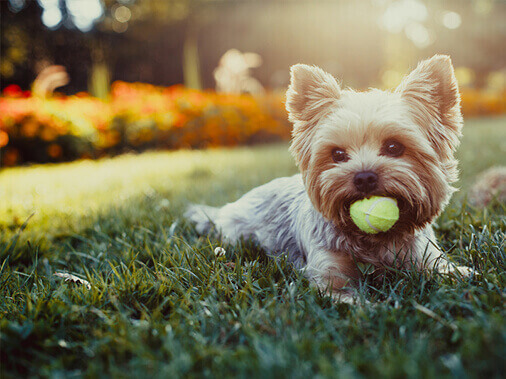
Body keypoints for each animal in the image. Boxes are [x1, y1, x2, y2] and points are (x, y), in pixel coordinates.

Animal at [185, 54, 470, 302]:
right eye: (338, 154)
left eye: (393, 147)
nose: (364, 177)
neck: (375, 241)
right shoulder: (329, 272)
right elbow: (345, 297)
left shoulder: (425, 256)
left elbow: (450, 271)